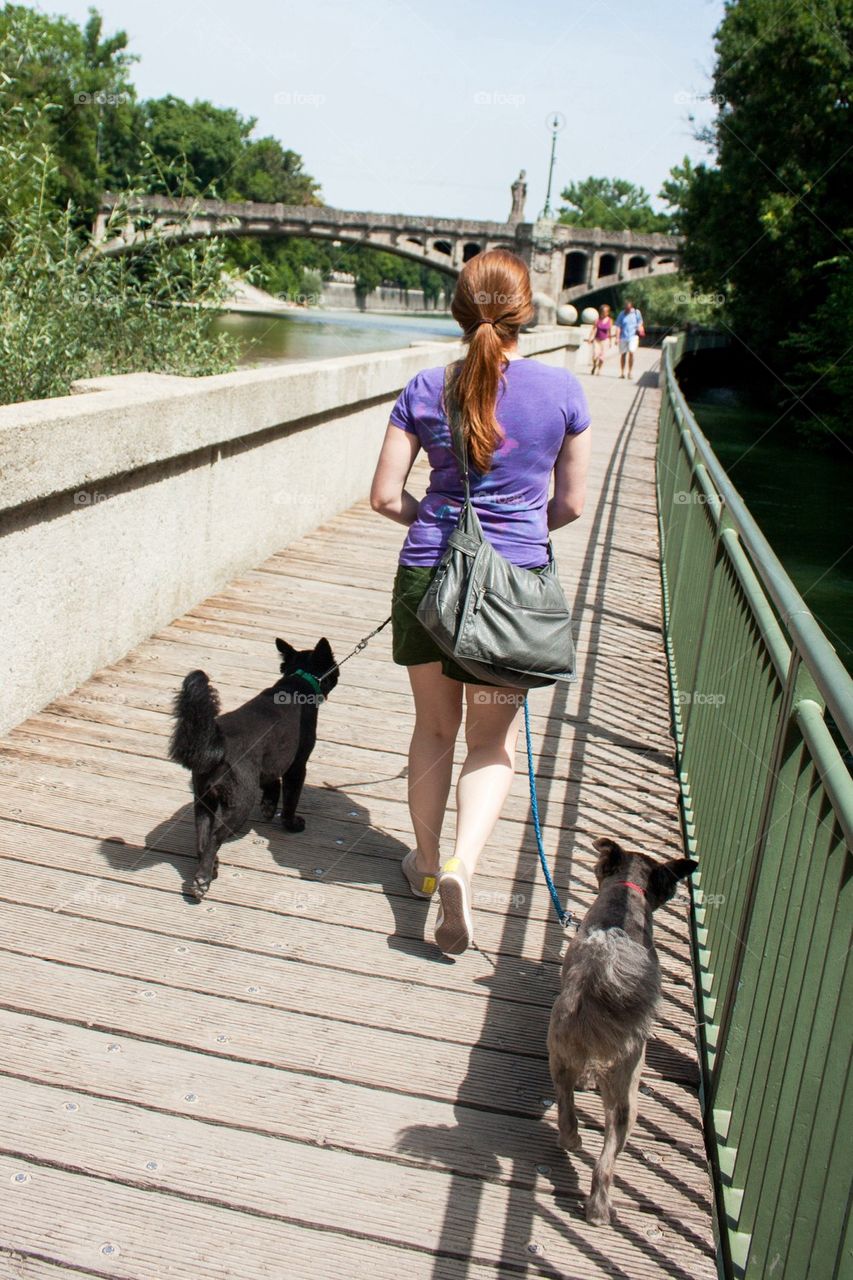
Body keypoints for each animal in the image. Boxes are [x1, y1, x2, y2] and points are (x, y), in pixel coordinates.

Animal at [167, 637, 338, 901]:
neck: (298, 682)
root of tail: (218, 746)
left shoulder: (270, 763)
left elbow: (272, 784)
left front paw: (268, 805)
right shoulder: (296, 766)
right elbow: (290, 799)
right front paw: (291, 823)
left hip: (203, 800)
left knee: (202, 836)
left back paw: (211, 868)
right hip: (240, 803)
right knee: (214, 838)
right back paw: (202, 880)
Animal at [548, 834, 696, 1223]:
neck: (627, 892)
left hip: (561, 1056)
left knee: (569, 1116)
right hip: (627, 1092)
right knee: (605, 1159)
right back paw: (599, 1208)